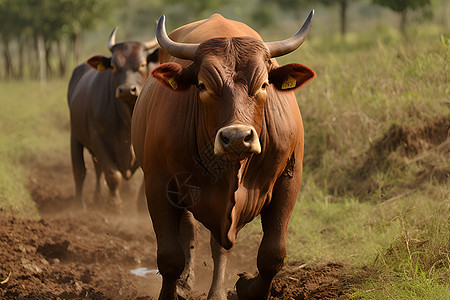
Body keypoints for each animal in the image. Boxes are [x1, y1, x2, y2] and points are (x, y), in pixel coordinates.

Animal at [67, 27, 158, 212]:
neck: (128, 117)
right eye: (115, 66)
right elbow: (112, 174)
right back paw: (80, 205)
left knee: (96, 169)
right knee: (80, 171)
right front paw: (114, 204)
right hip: (75, 135)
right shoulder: (98, 137)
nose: (127, 90)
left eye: (142, 64)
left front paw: (141, 206)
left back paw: (97, 197)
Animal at [132, 10, 316, 298]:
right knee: (190, 233)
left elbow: (272, 254)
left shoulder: (289, 179)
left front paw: (248, 288)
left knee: (219, 246)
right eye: (202, 85)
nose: (238, 138)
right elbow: (170, 257)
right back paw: (185, 282)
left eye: (264, 84)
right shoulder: (158, 184)